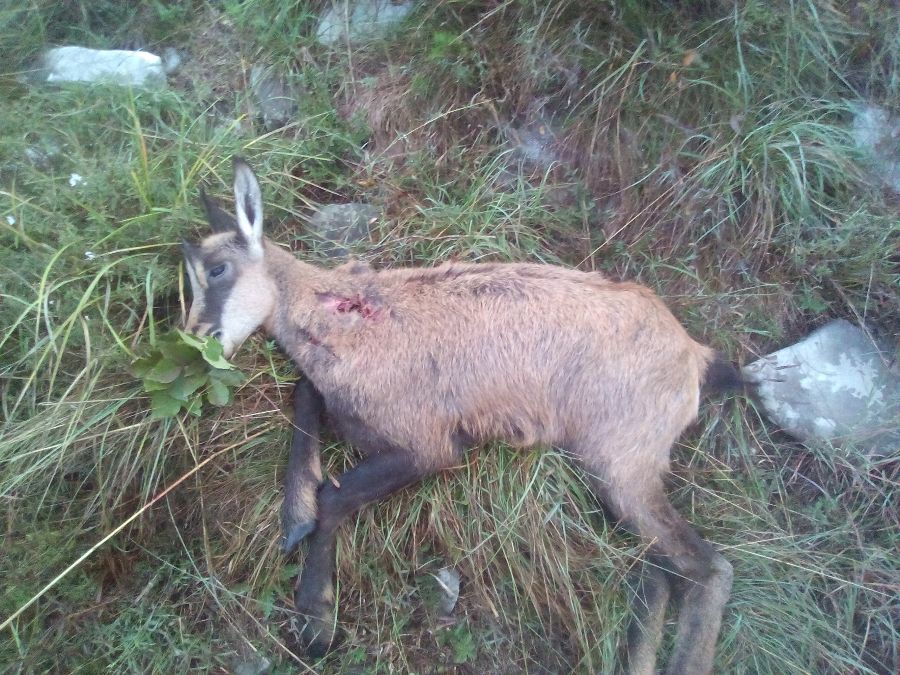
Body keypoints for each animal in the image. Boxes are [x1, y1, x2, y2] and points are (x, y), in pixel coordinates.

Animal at [181, 158, 739, 674]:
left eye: (216, 270)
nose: (195, 340)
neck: (344, 315)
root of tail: (695, 357)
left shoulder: (428, 443)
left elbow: (336, 495)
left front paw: (315, 616)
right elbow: (305, 394)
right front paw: (295, 518)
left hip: (623, 459)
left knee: (706, 569)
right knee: (657, 573)